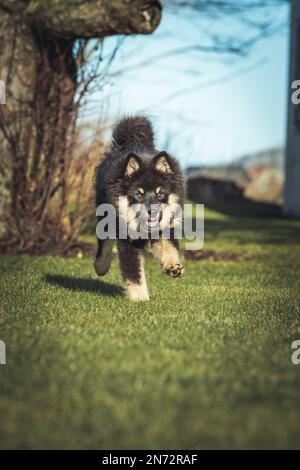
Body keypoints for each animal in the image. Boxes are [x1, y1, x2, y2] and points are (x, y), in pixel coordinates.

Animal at [94, 114, 184, 302]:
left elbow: (169, 247)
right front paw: (139, 298)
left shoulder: (166, 226)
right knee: (104, 246)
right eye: (139, 194)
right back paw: (101, 267)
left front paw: (173, 266)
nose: (152, 211)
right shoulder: (128, 240)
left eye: (159, 193)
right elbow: (134, 272)